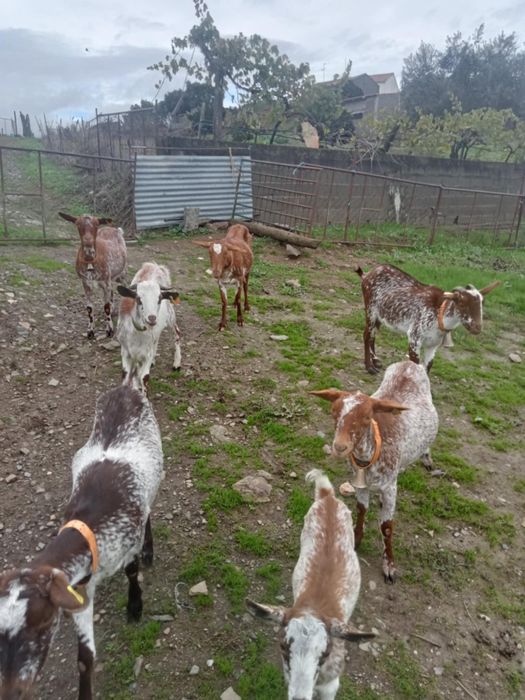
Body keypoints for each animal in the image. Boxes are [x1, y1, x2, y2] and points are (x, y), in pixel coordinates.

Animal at [0, 383, 163, 699]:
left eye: (42, 622)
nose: (13, 690)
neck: (89, 529)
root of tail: (128, 386)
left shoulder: (128, 544)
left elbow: (132, 571)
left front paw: (135, 606)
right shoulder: (78, 591)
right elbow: (85, 659)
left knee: (150, 510)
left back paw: (150, 549)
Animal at [116, 262, 181, 392]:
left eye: (160, 298)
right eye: (138, 298)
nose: (151, 318)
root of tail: (155, 265)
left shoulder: (146, 355)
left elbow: (144, 378)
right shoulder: (125, 352)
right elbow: (126, 377)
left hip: (170, 314)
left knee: (177, 332)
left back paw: (177, 363)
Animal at [247, 470, 375, 700]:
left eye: (325, 653)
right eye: (283, 646)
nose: (299, 696)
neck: (314, 606)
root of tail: (328, 496)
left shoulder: (331, 685)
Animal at [311, 360, 438, 583]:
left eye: (367, 417)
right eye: (333, 413)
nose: (340, 446)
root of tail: (410, 362)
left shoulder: (389, 487)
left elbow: (386, 525)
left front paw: (389, 566)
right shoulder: (360, 483)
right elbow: (361, 508)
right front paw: (356, 539)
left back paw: (426, 458)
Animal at [356, 263, 500, 373]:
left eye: (482, 303)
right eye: (462, 303)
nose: (477, 327)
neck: (438, 314)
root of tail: (368, 274)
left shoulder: (433, 345)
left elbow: (428, 367)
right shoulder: (414, 338)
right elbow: (414, 365)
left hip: (380, 316)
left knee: (373, 334)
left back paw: (375, 360)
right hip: (370, 310)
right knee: (367, 335)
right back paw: (369, 367)